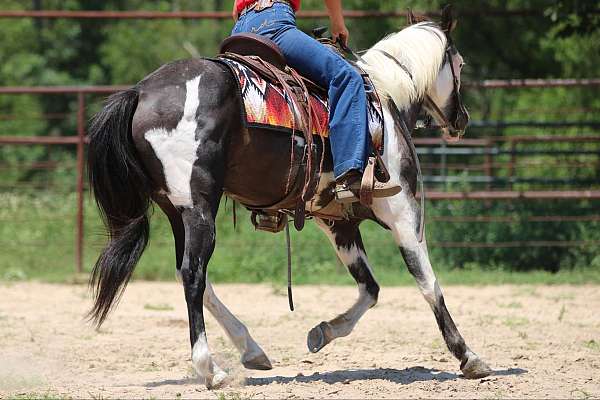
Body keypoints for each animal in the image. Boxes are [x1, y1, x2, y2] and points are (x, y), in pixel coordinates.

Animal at [88, 11, 492, 388]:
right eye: (459, 64)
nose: (461, 118)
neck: (384, 101)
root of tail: (141, 93)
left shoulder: (338, 222)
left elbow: (370, 288)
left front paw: (322, 333)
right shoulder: (403, 211)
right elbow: (428, 283)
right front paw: (468, 356)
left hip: (177, 210)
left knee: (190, 274)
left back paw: (251, 349)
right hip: (200, 207)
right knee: (193, 273)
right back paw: (211, 369)